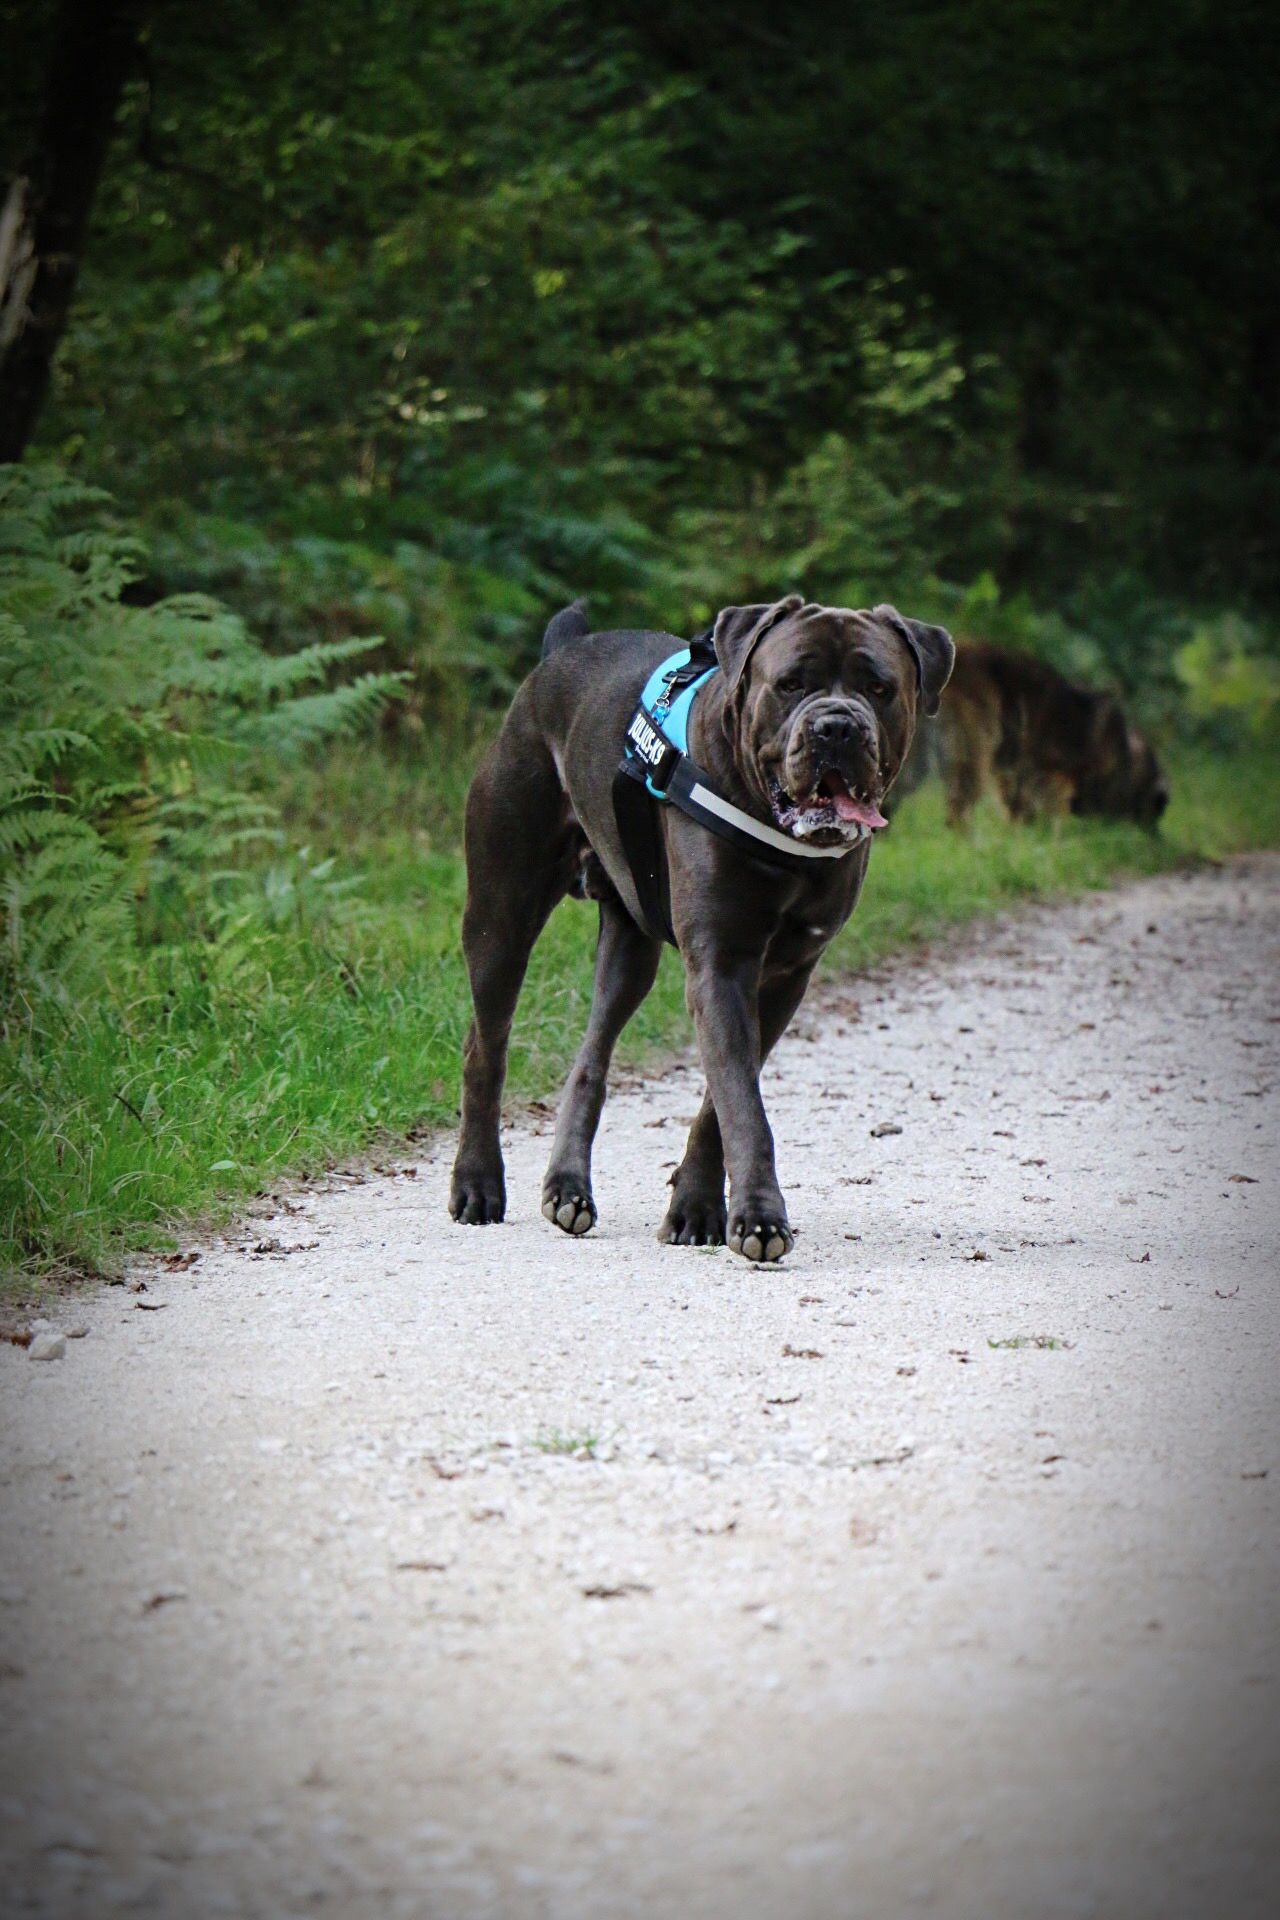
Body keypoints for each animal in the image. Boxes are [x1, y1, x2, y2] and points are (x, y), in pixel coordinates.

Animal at [449, 599, 951, 1259]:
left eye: (879, 688)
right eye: (790, 684)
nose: (837, 727)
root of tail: (558, 653)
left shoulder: (781, 978)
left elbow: (724, 1100)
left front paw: (696, 1208)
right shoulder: (721, 966)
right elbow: (742, 1102)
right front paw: (760, 1218)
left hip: (629, 946)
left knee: (592, 1055)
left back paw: (567, 1188)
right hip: (502, 913)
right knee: (485, 1046)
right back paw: (477, 1182)